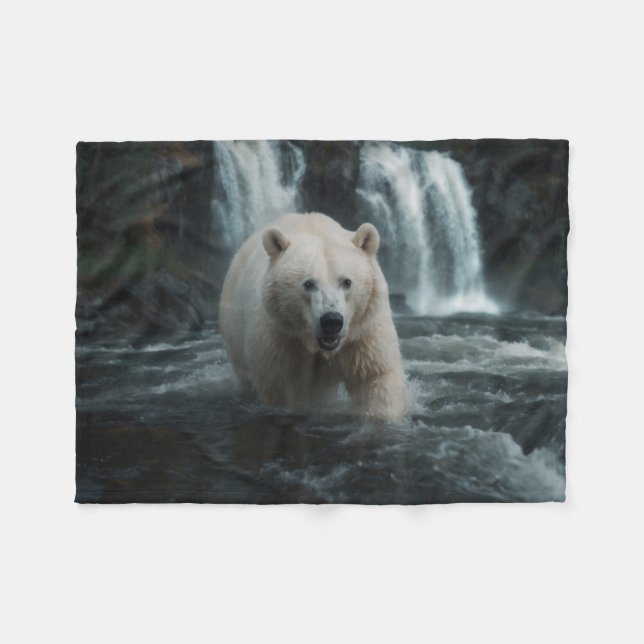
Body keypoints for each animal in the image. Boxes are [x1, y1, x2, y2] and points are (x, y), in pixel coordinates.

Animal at [219, 212, 406, 422]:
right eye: (308, 283)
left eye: (347, 281)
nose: (331, 321)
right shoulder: (281, 335)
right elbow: (282, 387)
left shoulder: (363, 330)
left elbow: (374, 377)